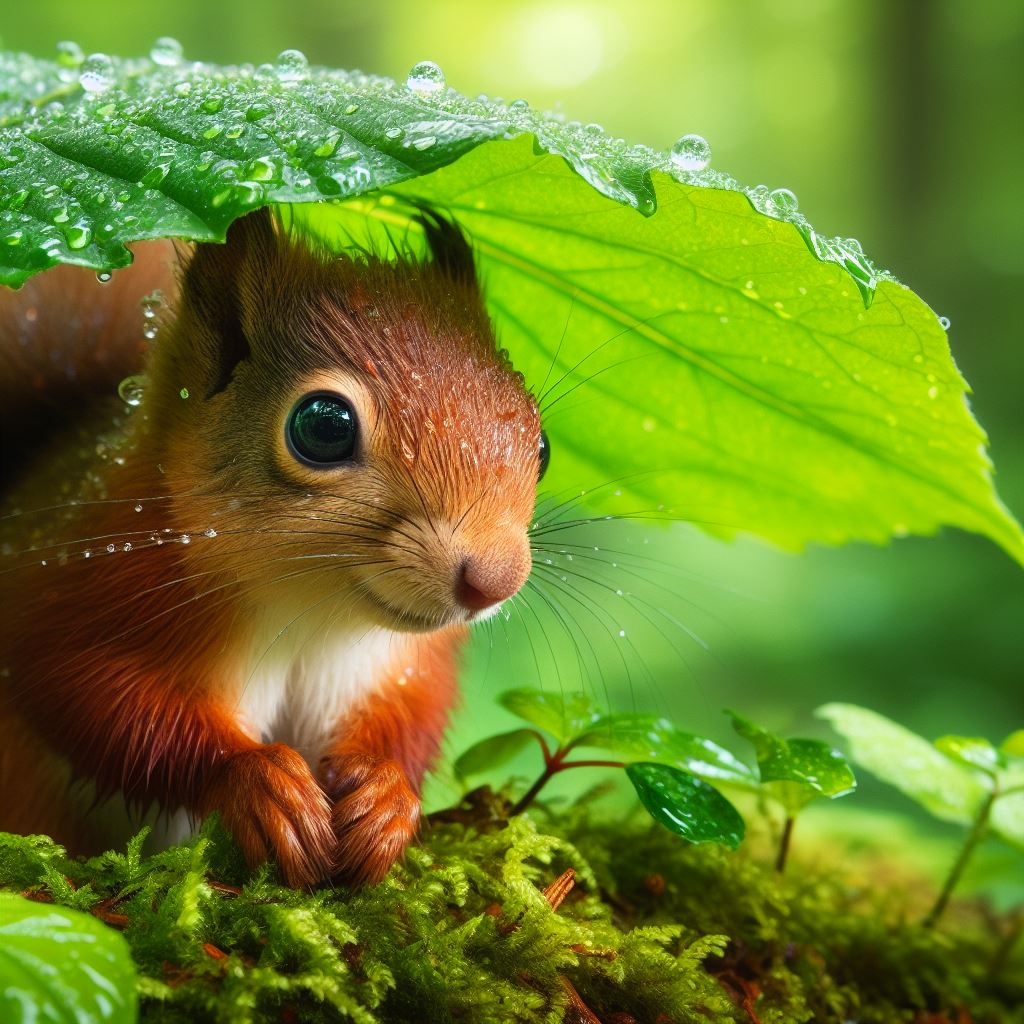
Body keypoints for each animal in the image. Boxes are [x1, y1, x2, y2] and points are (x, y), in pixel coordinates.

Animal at [0, 207, 547, 886]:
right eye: (323, 426)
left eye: (542, 445)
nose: (495, 581)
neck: (311, 614)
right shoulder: (75, 581)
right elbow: (84, 692)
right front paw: (256, 782)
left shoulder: (396, 663)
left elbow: (415, 715)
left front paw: (387, 796)